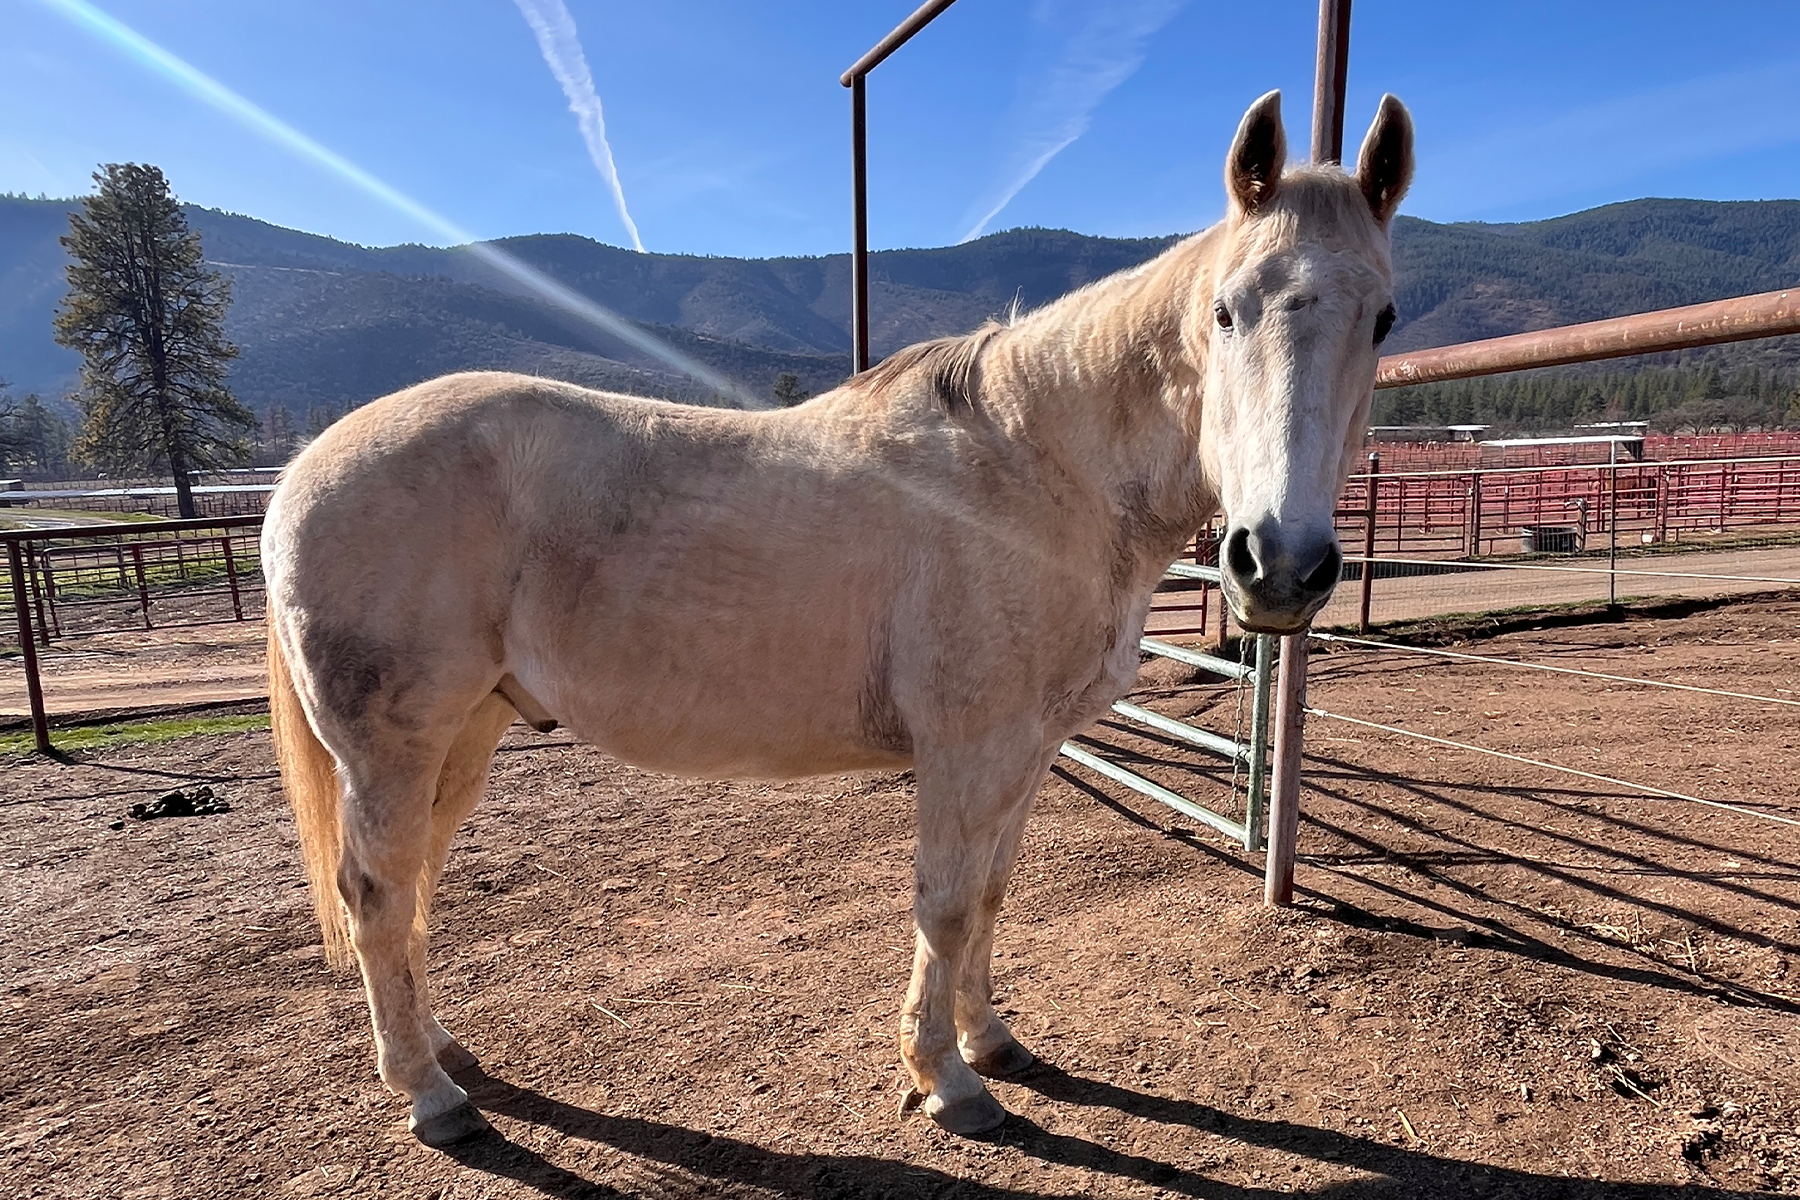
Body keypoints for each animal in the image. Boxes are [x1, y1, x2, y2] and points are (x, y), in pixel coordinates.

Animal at [264, 89, 1413, 1145]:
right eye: (1225, 310)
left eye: (1383, 320)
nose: (1281, 563)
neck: (1037, 471)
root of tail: (300, 474)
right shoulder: (967, 750)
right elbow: (943, 904)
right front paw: (947, 1081)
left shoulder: (1026, 750)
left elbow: (991, 894)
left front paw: (991, 1041)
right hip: (394, 749)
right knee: (377, 895)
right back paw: (431, 1095)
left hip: (466, 735)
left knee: (411, 887)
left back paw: (443, 1050)